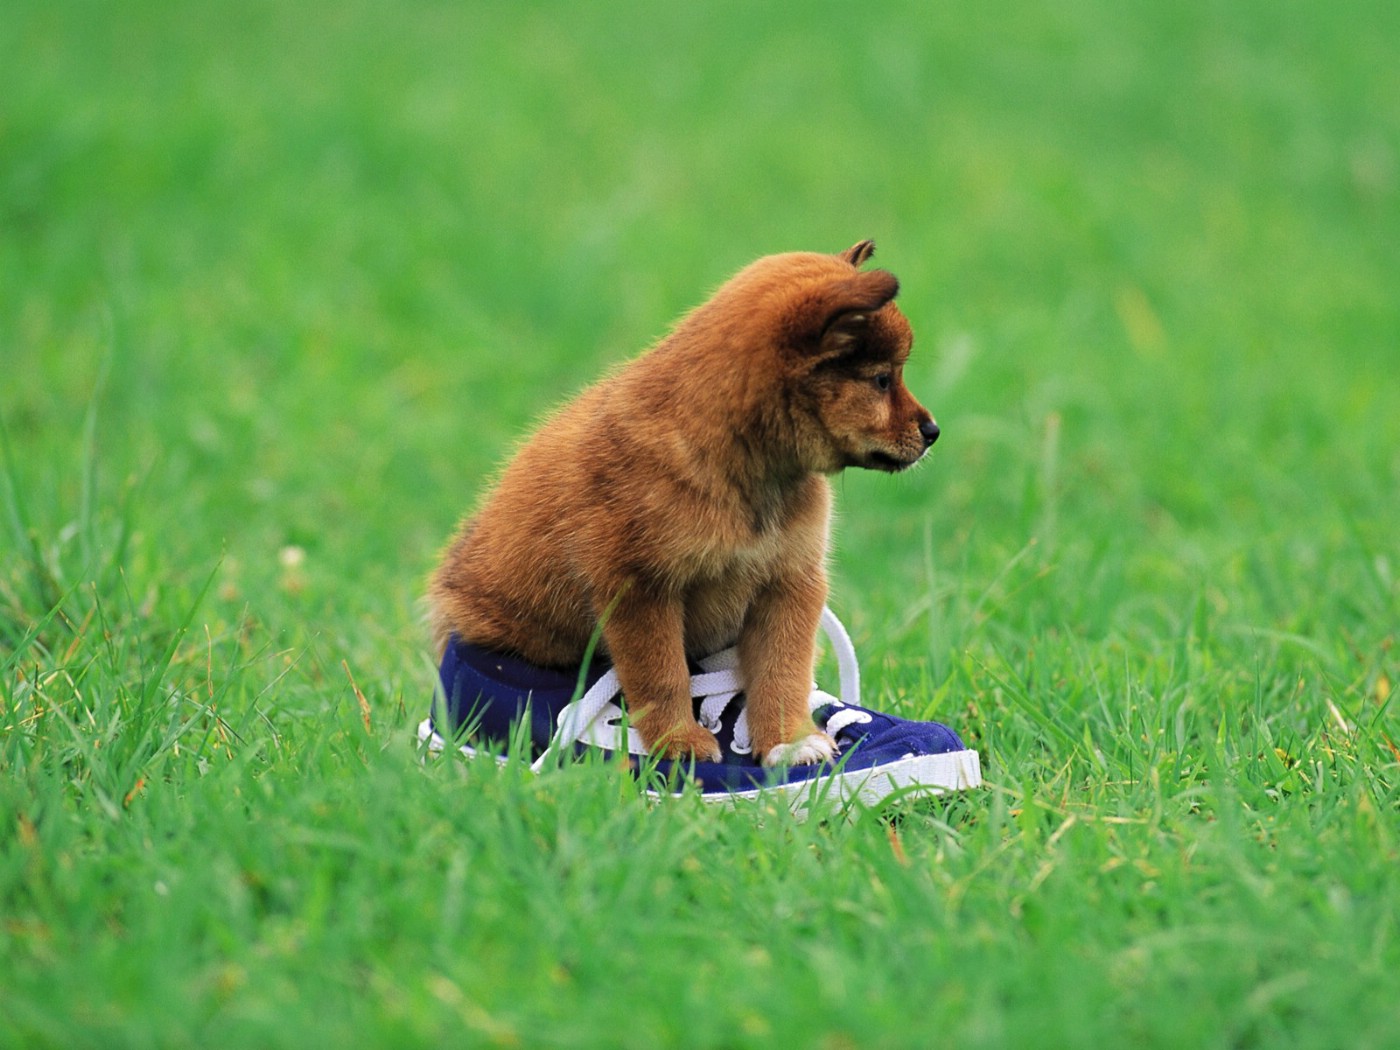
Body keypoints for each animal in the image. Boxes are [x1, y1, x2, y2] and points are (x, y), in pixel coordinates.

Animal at [431, 240, 935, 767]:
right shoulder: (642, 590)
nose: (933, 431)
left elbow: (782, 671)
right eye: (882, 380)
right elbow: (662, 676)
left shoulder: (788, 582)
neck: (742, 467)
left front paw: (789, 741)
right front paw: (677, 744)